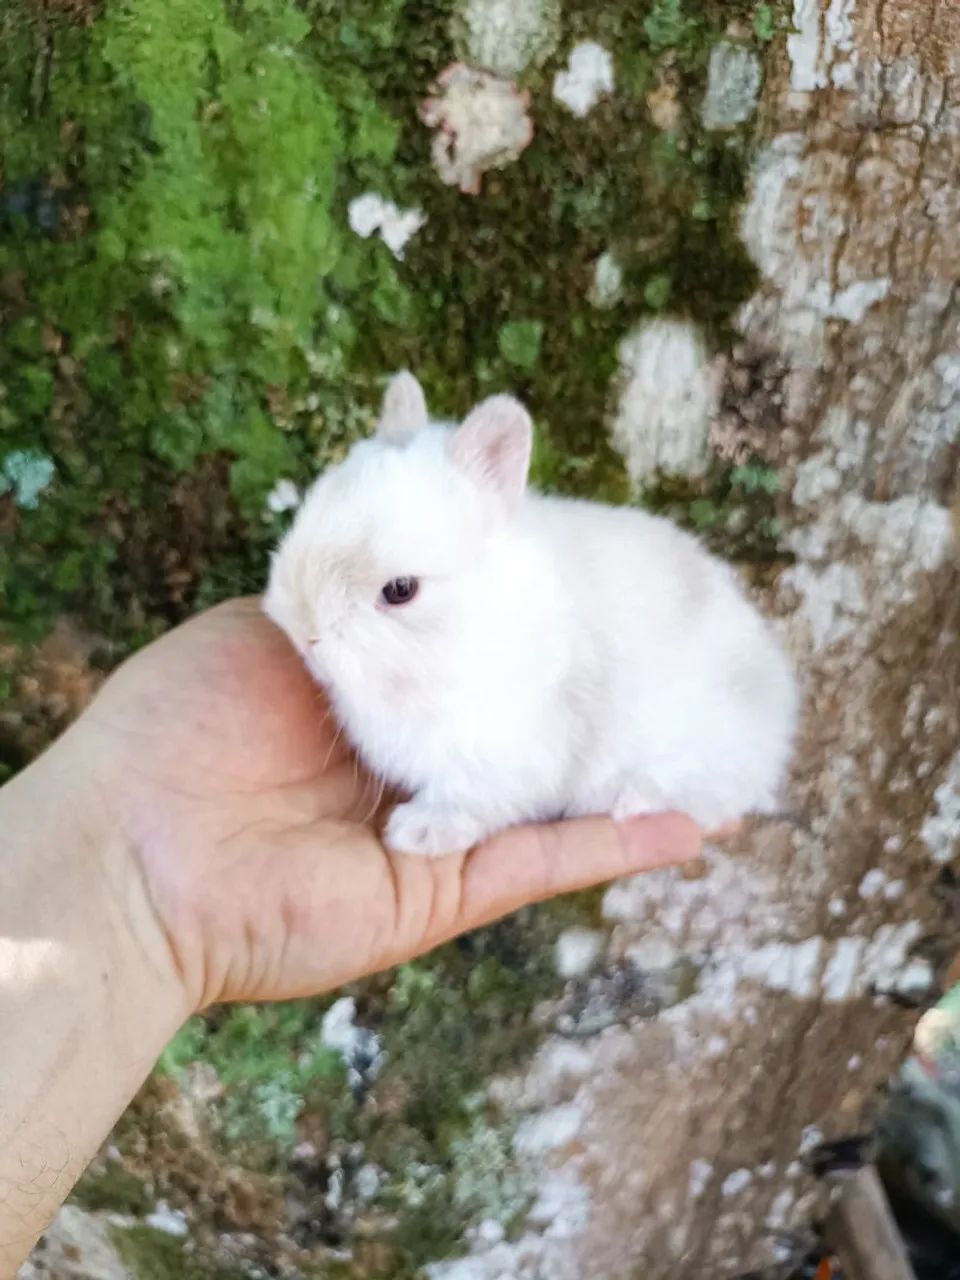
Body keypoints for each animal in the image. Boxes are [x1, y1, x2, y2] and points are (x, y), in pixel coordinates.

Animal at [263, 371, 798, 857]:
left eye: (400, 591)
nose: (305, 636)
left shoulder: (502, 755)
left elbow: (467, 800)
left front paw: (416, 833)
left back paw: (631, 800)